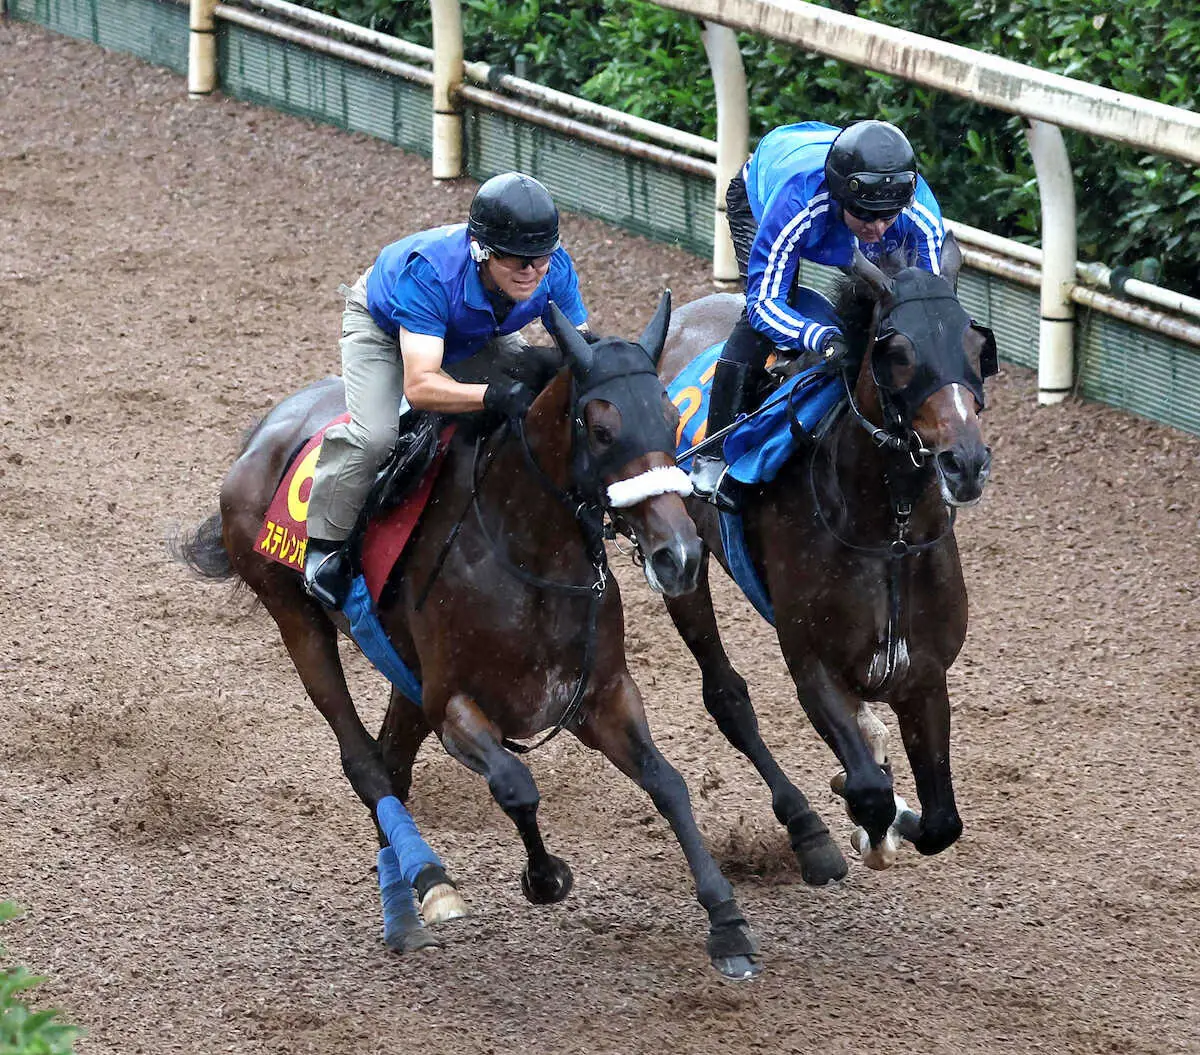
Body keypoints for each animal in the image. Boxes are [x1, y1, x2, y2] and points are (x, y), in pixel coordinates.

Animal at [174, 297, 758, 984]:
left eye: (671, 417)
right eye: (601, 429)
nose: (681, 554)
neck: (526, 556)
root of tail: (263, 434)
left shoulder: (601, 694)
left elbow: (667, 783)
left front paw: (728, 922)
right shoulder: (454, 705)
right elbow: (516, 784)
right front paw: (543, 876)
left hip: (402, 667)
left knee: (393, 763)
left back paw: (404, 911)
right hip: (295, 617)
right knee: (365, 762)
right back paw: (430, 880)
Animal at [657, 235, 993, 878]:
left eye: (973, 345)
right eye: (901, 353)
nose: (965, 462)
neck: (890, 535)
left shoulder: (924, 673)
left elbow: (943, 822)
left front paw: (896, 806)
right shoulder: (812, 664)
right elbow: (869, 791)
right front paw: (870, 820)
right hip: (677, 564)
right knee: (726, 697)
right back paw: (808, 830)